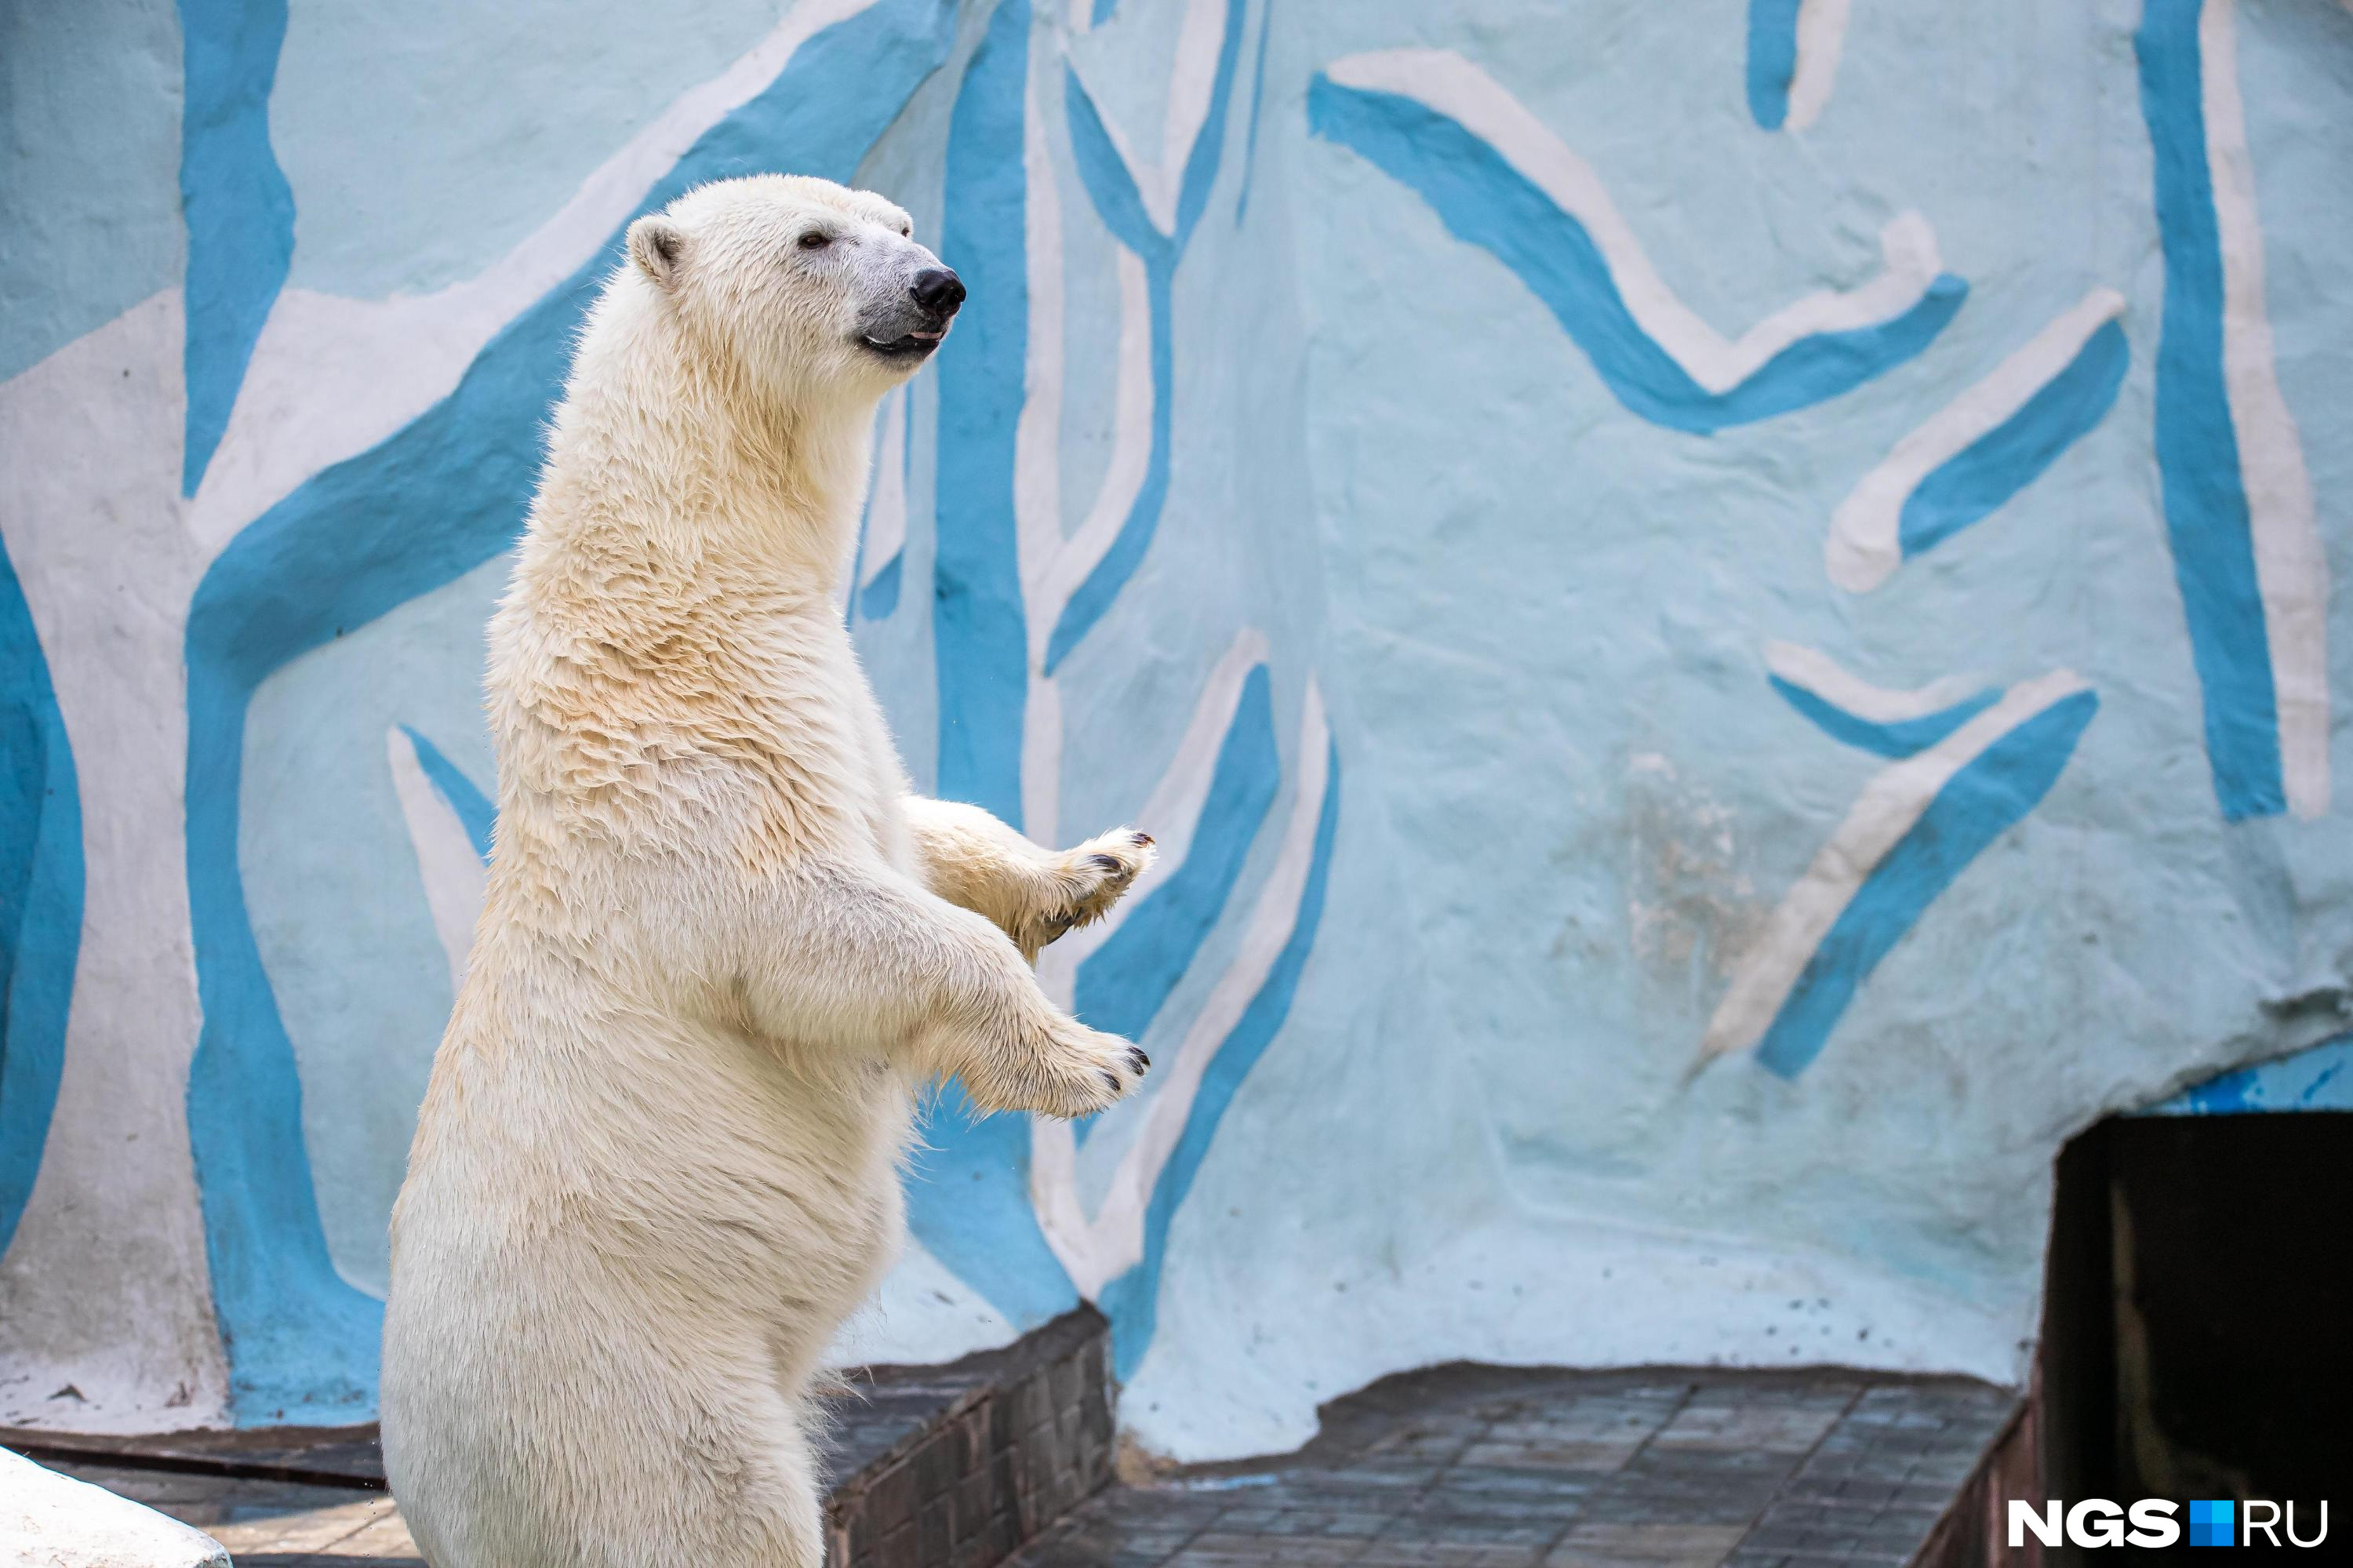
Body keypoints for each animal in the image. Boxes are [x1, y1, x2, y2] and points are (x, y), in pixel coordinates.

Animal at [379, 176, 1158, 1563]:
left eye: (897, 221)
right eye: (815, 239)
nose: (940, 284)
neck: (684, 565)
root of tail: (423, 1482)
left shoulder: (817, 687)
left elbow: (913, 827)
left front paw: (1094, 863)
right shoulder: (685, 741)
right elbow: (796, 917)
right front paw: (1093, 1057)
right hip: (620, 1369)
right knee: (707, 1508)